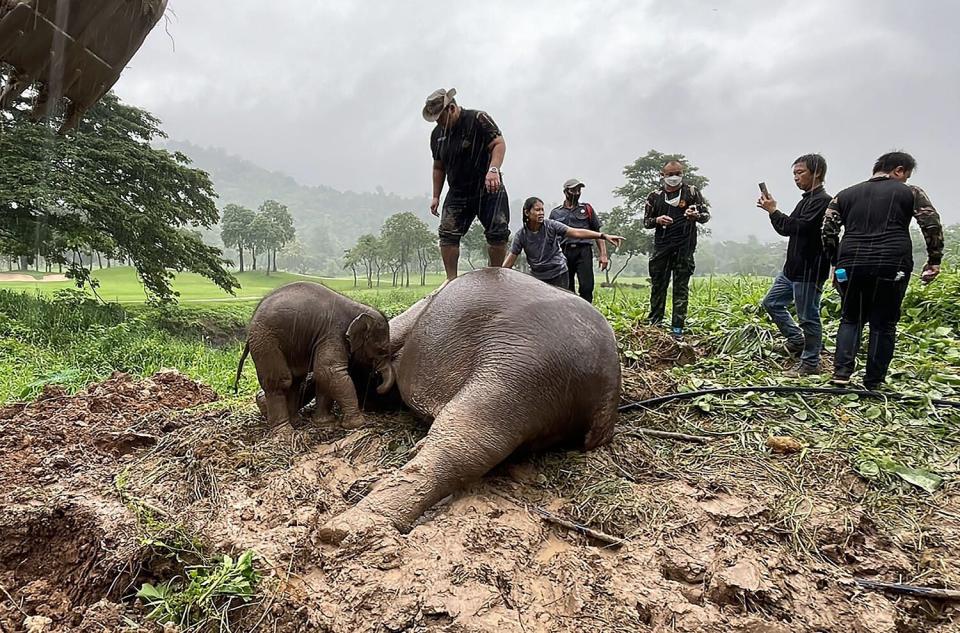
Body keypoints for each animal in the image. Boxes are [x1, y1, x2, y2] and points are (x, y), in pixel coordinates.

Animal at [233, 282, 394, 430]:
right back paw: (285, 432)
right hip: (266, 341)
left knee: (295, 381)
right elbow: (328, 371)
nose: (378, 386)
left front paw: (325, 422)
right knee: (281, 381)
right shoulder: (333, 333)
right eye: (381, 350)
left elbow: (322, 375)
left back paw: (296, 422)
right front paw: (357, 424)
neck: (358, 308)